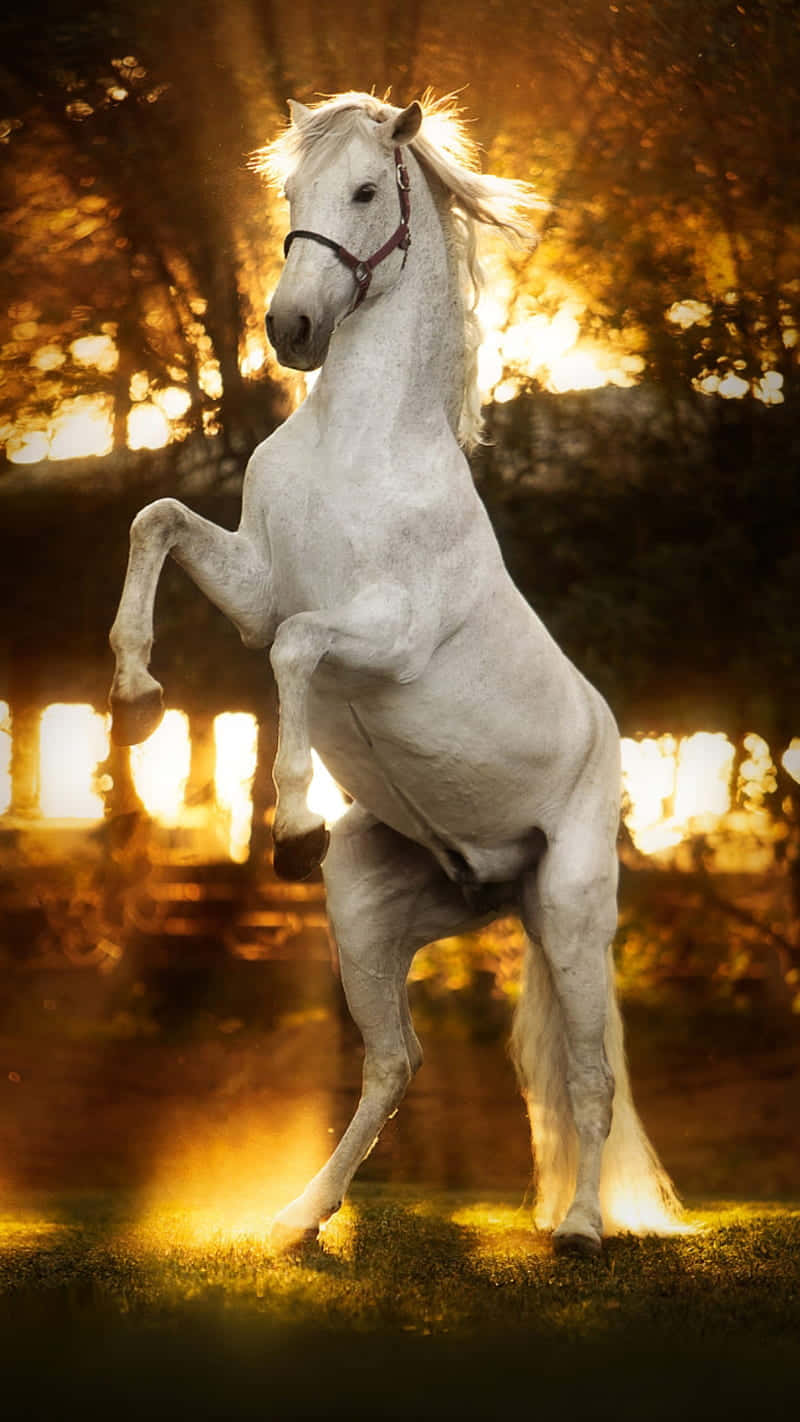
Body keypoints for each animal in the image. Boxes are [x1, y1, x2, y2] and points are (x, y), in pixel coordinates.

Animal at [108, 91, 682, 1255]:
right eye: (290, 190)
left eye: (368, 190)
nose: (289, 330)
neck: (357, 449)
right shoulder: (254, 587)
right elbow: (158, 520)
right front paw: (136, 697)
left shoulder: (377, 636)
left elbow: (296, 648)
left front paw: (288, 827)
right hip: (374, 912)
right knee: (393, 1063)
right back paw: (295, 1220)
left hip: (571, 909)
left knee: (591, 1073)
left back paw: (582, 1231)